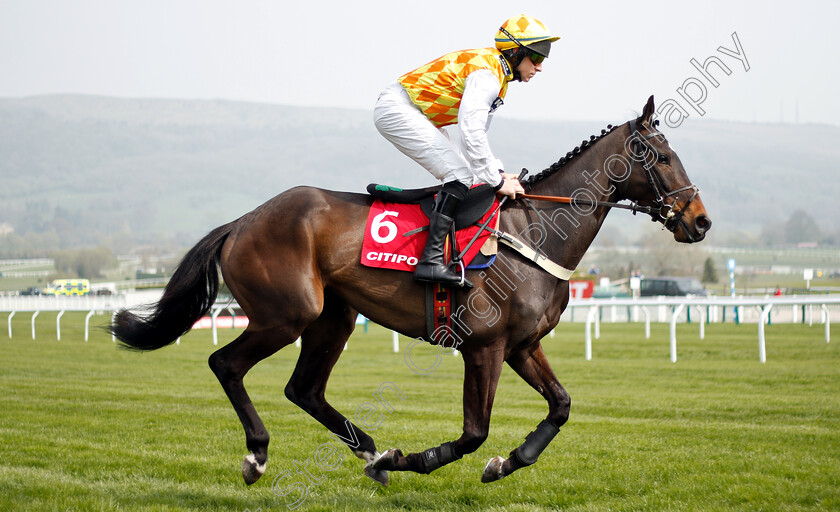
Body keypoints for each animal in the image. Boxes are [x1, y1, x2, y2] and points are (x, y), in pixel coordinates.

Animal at [110, 97, 708, 488]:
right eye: (660, 156)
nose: (699, 221)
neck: (537, 231)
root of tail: (241, 221)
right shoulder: (484, 347)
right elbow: (473, 433)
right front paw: (416, 461)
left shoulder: (522, 346)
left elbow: (560, 406)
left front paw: (507, 462)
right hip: (287, 313)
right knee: (226, 364)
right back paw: (260, 455)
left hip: (333, 318)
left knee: (304, 389)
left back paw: (370, 453)